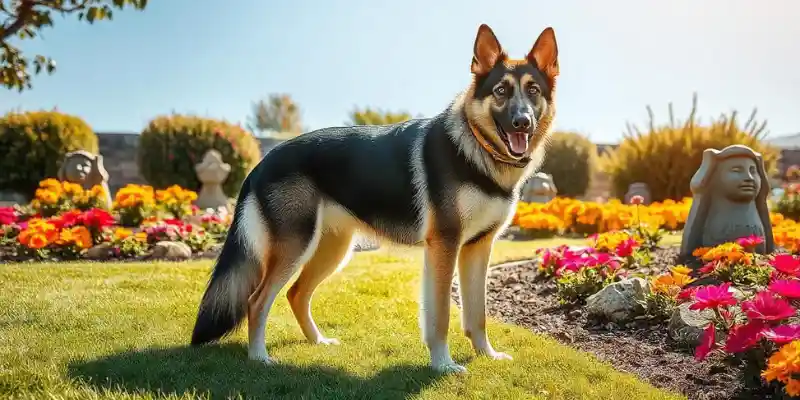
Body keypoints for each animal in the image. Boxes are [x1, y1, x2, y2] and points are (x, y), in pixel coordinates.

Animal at [191, 24, 560, 376]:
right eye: (501, 91)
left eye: (533, 91)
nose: (522, 122)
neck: (476, 149)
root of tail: (262, 162)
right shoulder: (445, 247)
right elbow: (440, 314)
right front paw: (443, 365)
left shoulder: (478, 249)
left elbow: (477, 314)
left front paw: (486, 355)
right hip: (296, 248)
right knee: (256, 301)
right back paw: (259, 357)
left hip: (332, 251)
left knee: (296, 294)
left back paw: (318, 342)